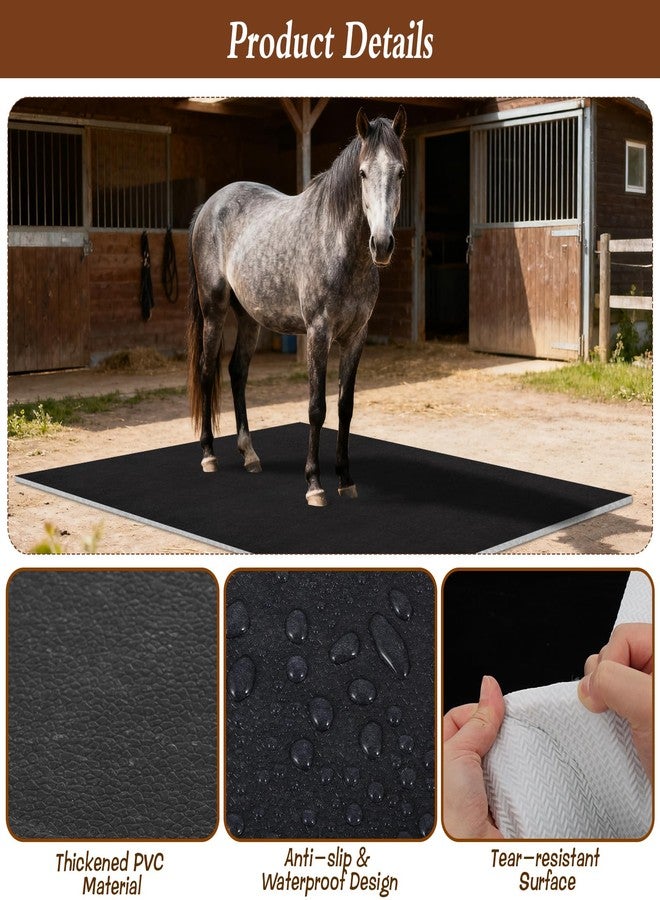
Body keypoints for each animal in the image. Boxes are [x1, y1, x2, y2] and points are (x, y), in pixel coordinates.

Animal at [187, 106, 407, 507]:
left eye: (400, 172)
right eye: (363, 173)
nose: (382, 244)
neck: (339, 245)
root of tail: (210, 205)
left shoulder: (356, 336)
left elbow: (345, 407)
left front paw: (346, 479)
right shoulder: (318, 332)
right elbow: (317, 407)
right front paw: (315, 484)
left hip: (249, 317)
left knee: (237, 372)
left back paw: (250, 455)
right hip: (214, 309)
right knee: (208, 370)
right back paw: (209, 454)